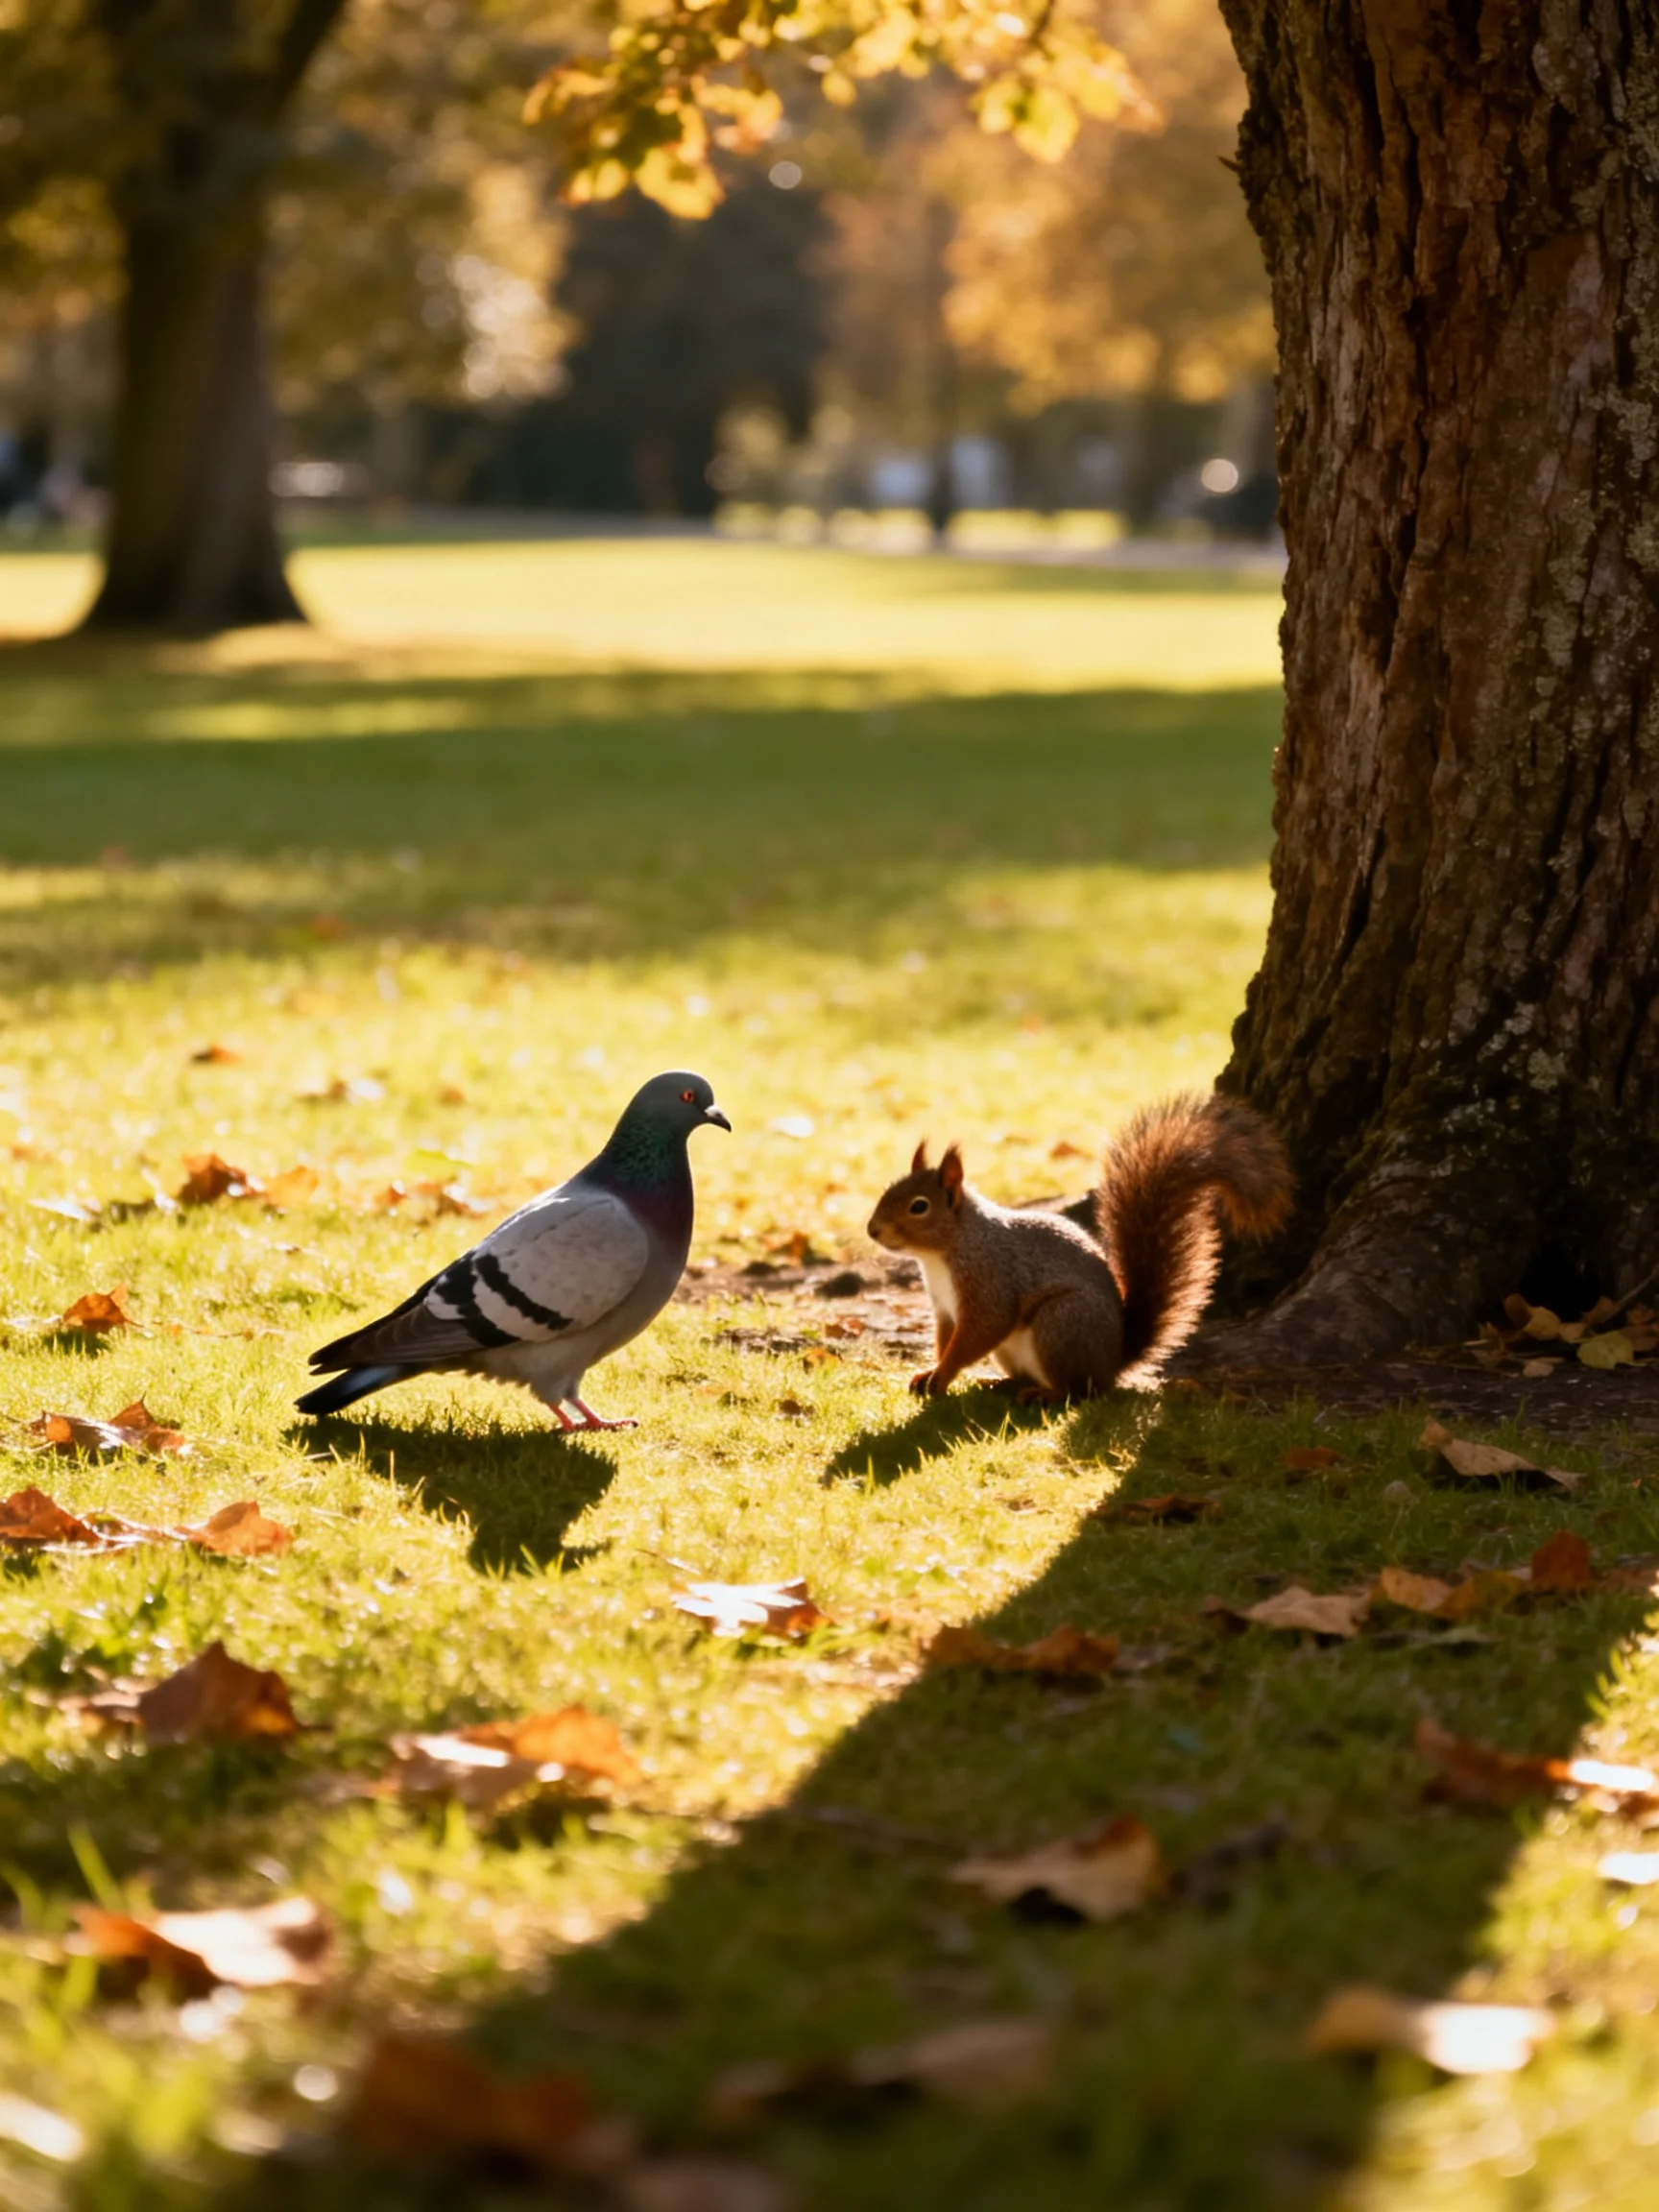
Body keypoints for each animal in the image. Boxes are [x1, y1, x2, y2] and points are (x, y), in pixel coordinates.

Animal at [866, 1092, 1291, 1400]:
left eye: (919, 1206)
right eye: (888, 1188)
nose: (872, 1230)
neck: (942, 1254)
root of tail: (1112, 1361)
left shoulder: (989, 1283)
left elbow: (981, 1331)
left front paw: (943, 1375)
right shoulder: (944, 1307)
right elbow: (945, 1339)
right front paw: (931, 1371)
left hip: (1061, 1324)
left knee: (1079, 1391)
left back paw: (1046, 1395)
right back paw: (1002, 1383)